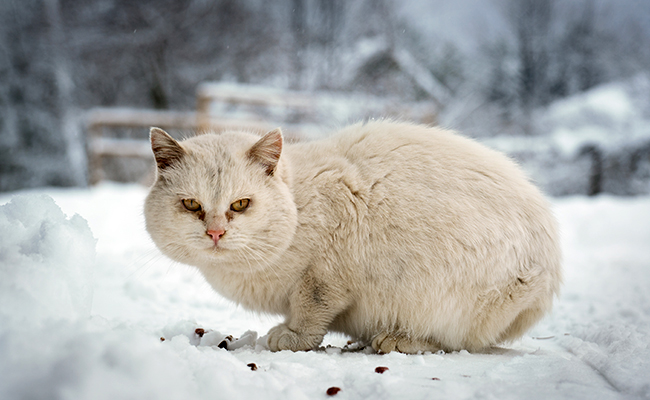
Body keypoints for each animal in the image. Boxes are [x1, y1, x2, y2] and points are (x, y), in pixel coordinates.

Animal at [144, 121, 560, 354]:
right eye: (192, 205)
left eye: (241, 204)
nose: (215, 232)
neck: (298, 205)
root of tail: (549, 271)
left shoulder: (325, 275)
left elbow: (310, 312)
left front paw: (291, 337)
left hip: (440, 294)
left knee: (458, 342)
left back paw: (397, 340)